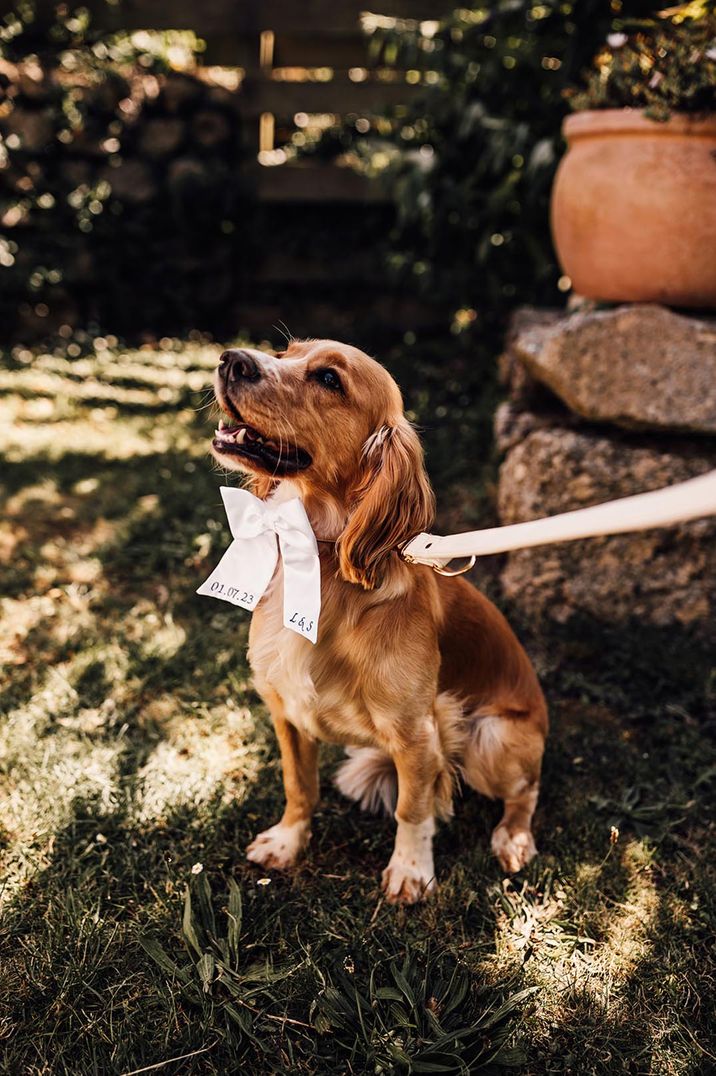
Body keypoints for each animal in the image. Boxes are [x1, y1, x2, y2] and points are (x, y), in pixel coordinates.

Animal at [209, 335, 544, 899]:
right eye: (286, 350)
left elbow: (414, 809)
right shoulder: (285, 709)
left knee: (527, 791)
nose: (231, 359)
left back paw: (513, 838)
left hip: (490, 739)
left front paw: (410, 871)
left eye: (329, 379)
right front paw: (287, 841)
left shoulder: (418, 733)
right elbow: (299, 786)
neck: (322, 561)